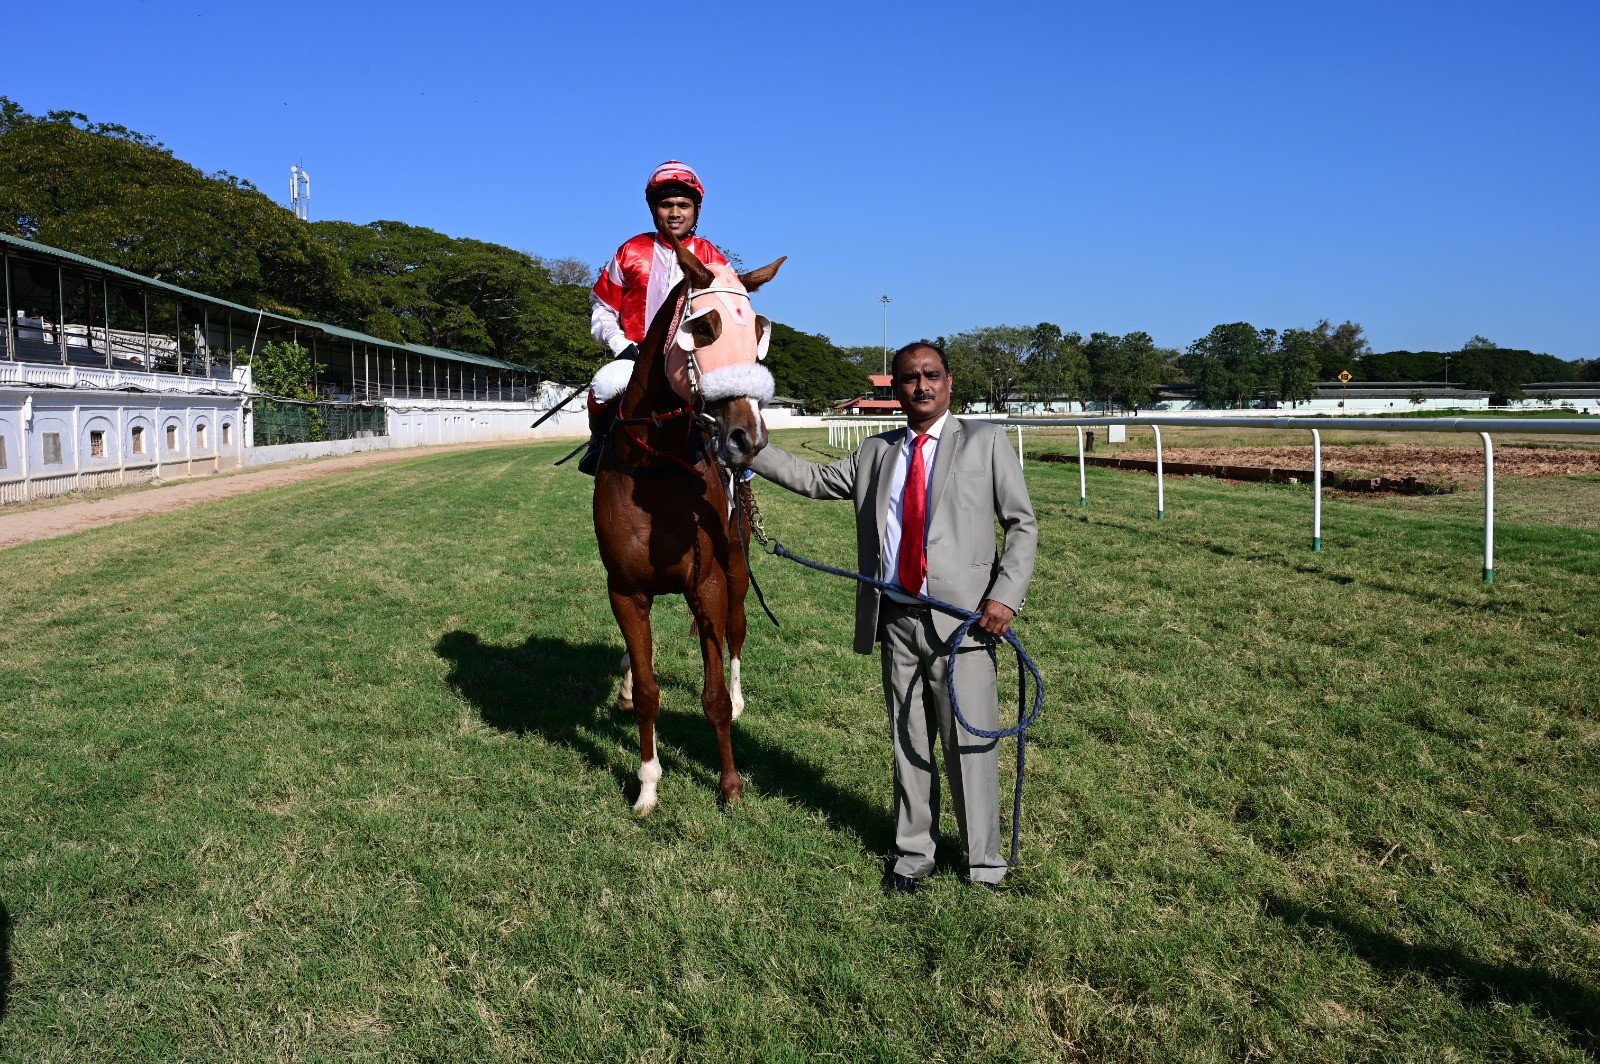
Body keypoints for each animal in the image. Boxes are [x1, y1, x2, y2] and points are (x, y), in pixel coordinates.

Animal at [592, 230, 784, 812]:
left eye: (758, 331)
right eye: (704, 327)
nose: (748, 438)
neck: (656, 471)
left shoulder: (709, 582)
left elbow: (714, 694)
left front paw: (730, 783)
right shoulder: (626, 589)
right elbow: (648, 692)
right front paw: (647, 785)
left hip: (739, 567)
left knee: (737, 631)